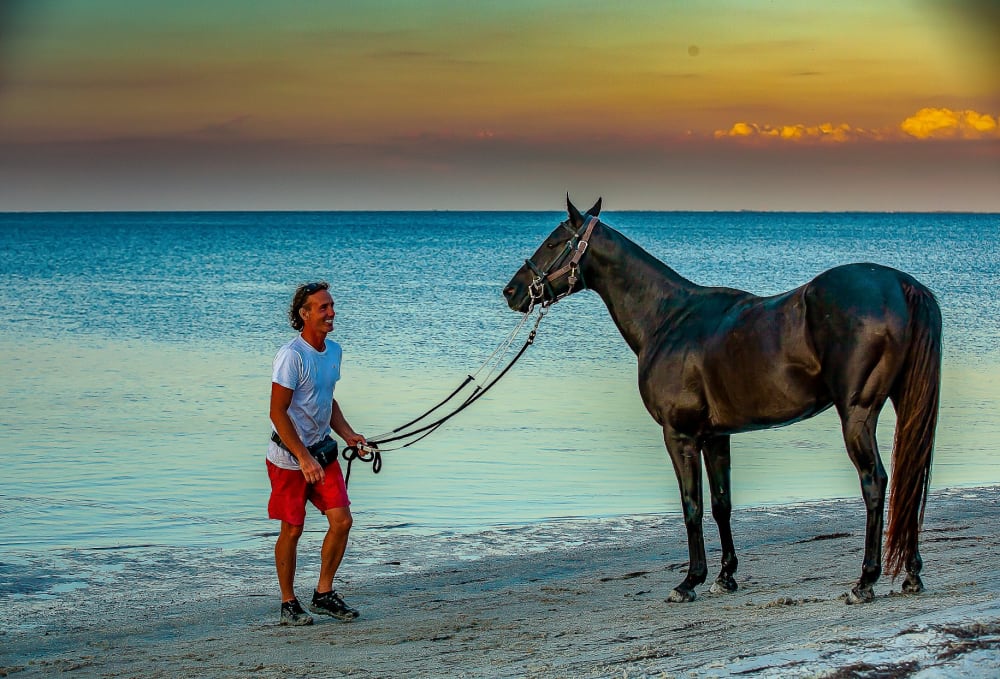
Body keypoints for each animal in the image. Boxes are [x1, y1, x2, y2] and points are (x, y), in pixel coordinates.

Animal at [503, 197, 942, 605]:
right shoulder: (716, 436)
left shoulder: (679, 435)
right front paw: (725, 576)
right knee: (911, 477)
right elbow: (721, 503)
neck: (668, 319)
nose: (512, 291)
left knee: (875, 482)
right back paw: (911, 575)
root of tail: (902, 286)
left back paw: (864, 581)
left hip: (857, 413)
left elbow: (691, 505)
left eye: (553, 241)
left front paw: (689, 581)